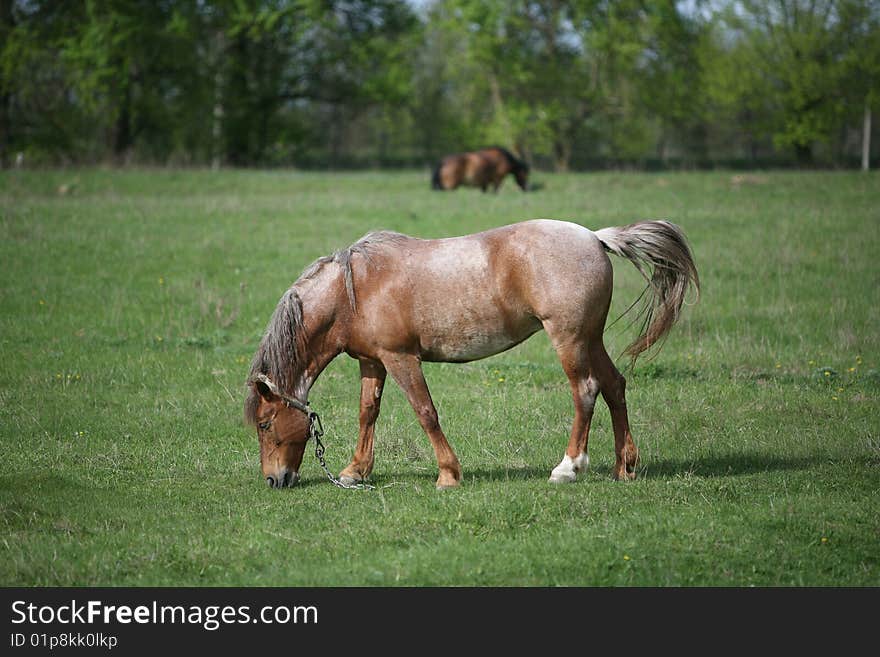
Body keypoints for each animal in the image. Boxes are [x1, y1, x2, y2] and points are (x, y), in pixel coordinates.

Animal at [244, 219, 696, 486]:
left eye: (264, 424)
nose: (274, 480)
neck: (353, 290)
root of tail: (594, 237)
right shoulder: (373, 361)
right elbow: (367, 413)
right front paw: (355, 471)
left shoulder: (401, 358)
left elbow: (425, 412)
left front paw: (448, 474)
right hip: (590, 337)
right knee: (614, 386)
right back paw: (624, 467)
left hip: (569, 339)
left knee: (585, 391)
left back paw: (568, 467)